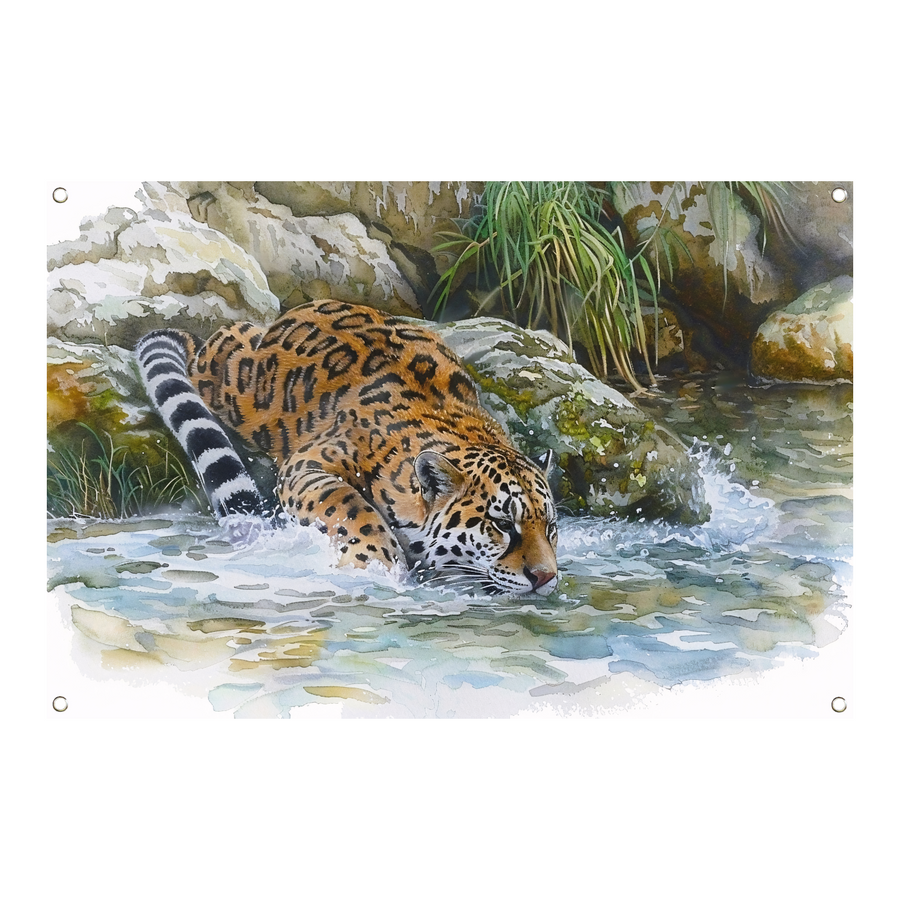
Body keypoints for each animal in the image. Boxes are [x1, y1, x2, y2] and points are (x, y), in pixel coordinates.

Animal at [135, 300, 558, 595]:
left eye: (551, 527)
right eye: (502, 524)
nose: (546, 577)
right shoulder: (307, 464)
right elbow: (348, 505)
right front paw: (377, 566)